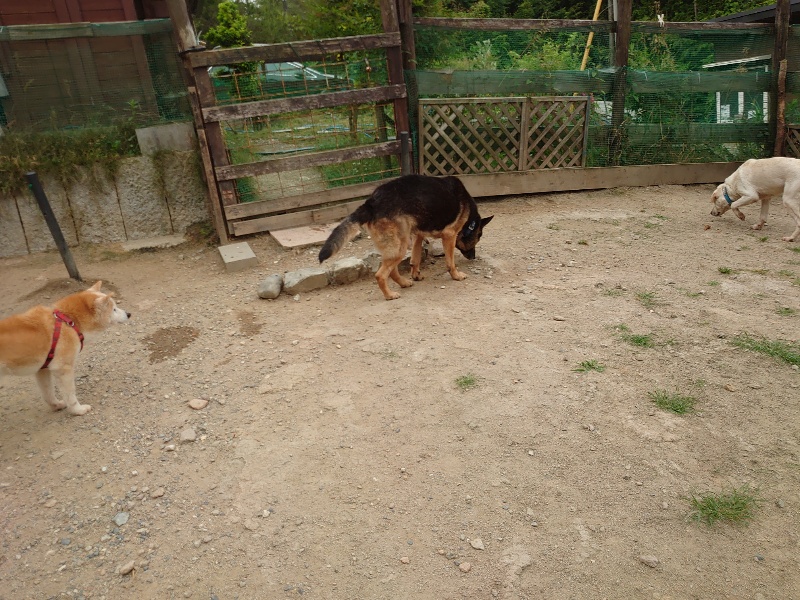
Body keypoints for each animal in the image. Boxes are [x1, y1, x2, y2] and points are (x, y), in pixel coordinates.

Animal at [0, 281, 130, 416]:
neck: (68, 321)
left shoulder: (43, 369)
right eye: (114, 309)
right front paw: (78, 410)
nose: (129, 314)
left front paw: (56, 405)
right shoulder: (63, 369)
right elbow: (70, 395)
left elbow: (48, 393)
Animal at [319, 175, 493, 300]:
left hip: (398, 244)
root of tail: (371, 203)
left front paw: (416, 275)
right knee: (380, 274)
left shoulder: (418, 236)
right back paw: (389, 295)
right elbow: (451, 262)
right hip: (399, 247)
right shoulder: (449, 236)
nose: (473, 257)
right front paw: (456, 276)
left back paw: (403, 283)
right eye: (478, 238)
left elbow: (415, 259)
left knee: (392, 271)